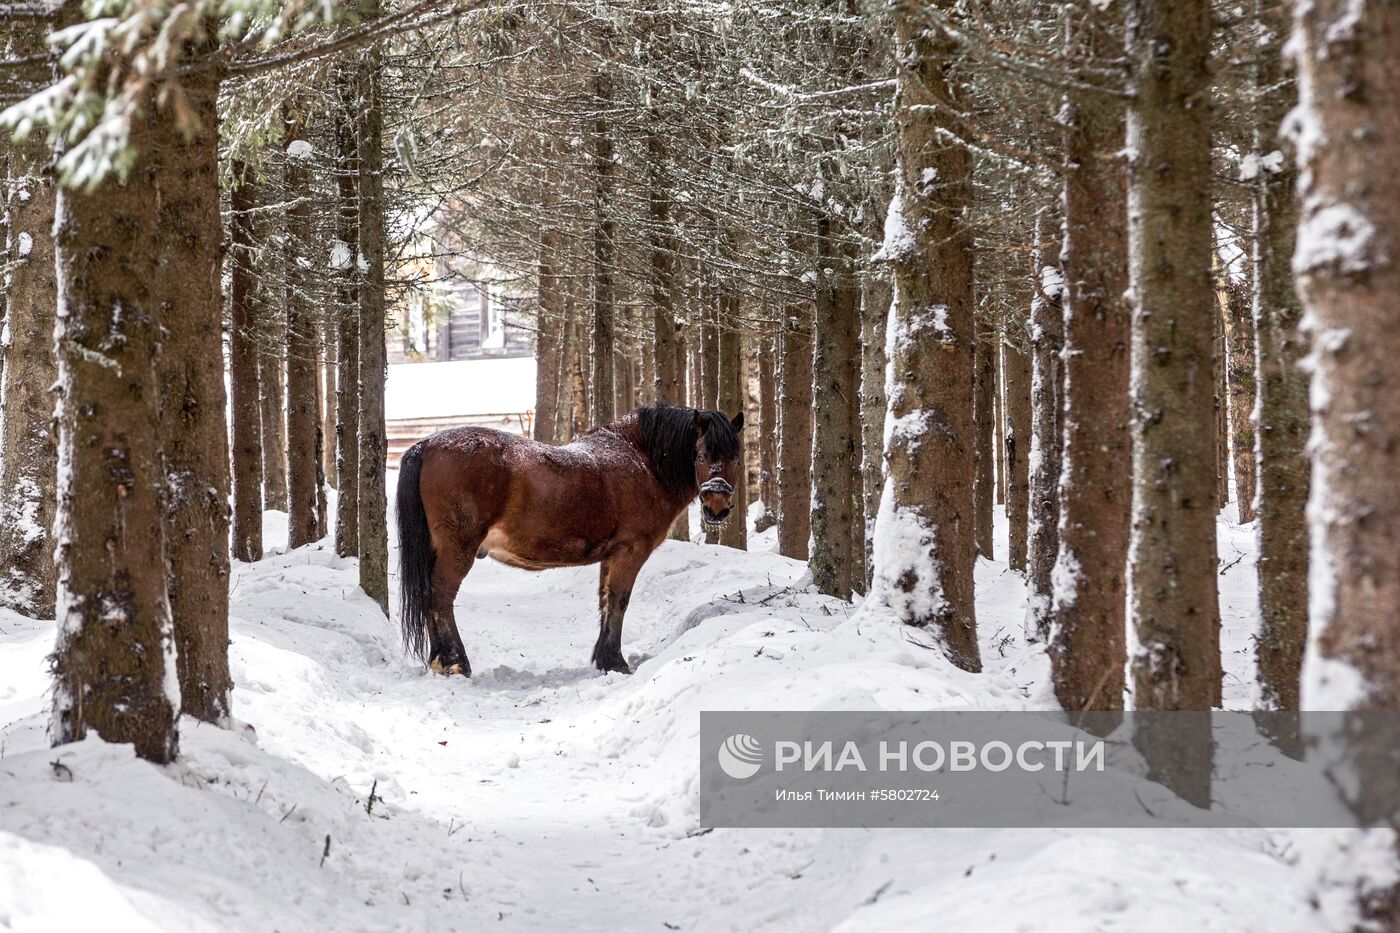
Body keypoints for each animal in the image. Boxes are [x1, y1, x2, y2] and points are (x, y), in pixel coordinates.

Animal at [394, 403, 744, 672]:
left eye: (736, 457)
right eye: (700, 455)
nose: (716, 506)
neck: (643, 463)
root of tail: (426, 445)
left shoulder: (611, 555)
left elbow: (605, 601)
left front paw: (602, 660)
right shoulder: (630, 551)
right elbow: (619, 601)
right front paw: (616, 663)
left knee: (428, 596)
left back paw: (440, 660)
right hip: (458, 549)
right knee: (440, 595)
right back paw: (455, 662)